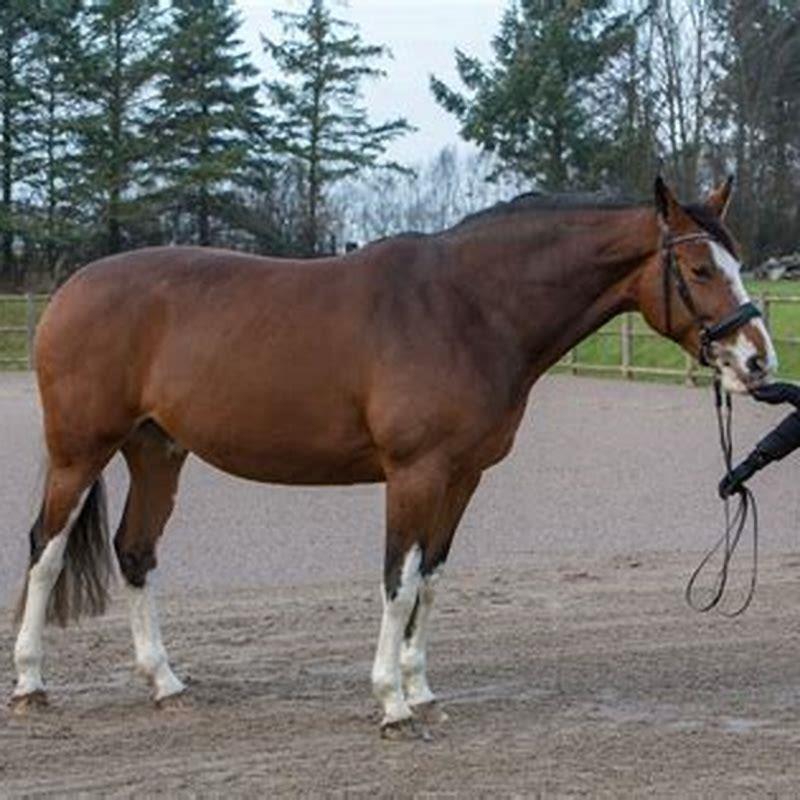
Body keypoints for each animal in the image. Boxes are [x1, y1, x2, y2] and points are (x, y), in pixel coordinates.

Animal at [10, 176, 776, 737]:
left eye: (740, 263)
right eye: (700, 267)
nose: (758, 362)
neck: (468, 308)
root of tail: (71, 289)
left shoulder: (462, 478)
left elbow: (430, 580)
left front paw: (423, 690)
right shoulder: (414, 473)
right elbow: (396, 581)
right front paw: (392, 704)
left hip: (157, 451)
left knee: (135, 552)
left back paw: (166, 684)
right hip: (80, 450)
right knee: (45, 550)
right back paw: (29, 682)